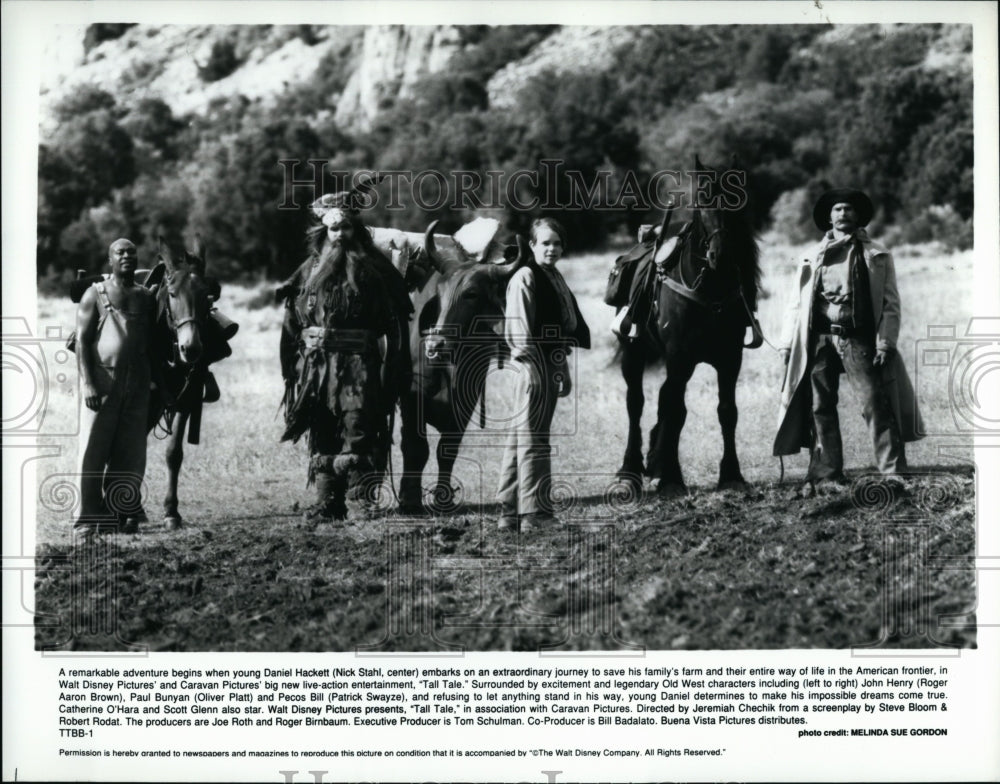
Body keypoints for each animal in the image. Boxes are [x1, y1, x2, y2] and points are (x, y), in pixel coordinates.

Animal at [612, 159, 760, 496]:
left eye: (738, 201)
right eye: (702, 199)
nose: (721, 255)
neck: (710, 291)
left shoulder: (730, 359)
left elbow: (726, 411)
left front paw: (731, 474)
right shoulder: (678, 357)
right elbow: (675, 410)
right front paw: (670, 478)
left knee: (663, 400)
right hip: (633, 353)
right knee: (636, 404)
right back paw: (630, 470)